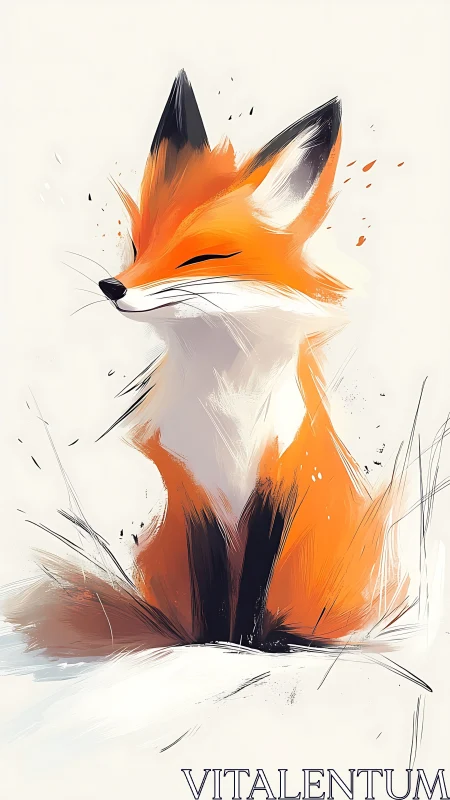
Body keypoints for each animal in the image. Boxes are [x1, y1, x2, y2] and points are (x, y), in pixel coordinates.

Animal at [5, 70, 413, 658]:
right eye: (138, 246)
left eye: (204, 257)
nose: (112, 286)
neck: (227, 410)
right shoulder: (192, 487)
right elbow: (215, 580)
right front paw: (213, 643)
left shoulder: (279, 479)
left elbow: (255, 579)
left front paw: (246, 644)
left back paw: (285, 637)